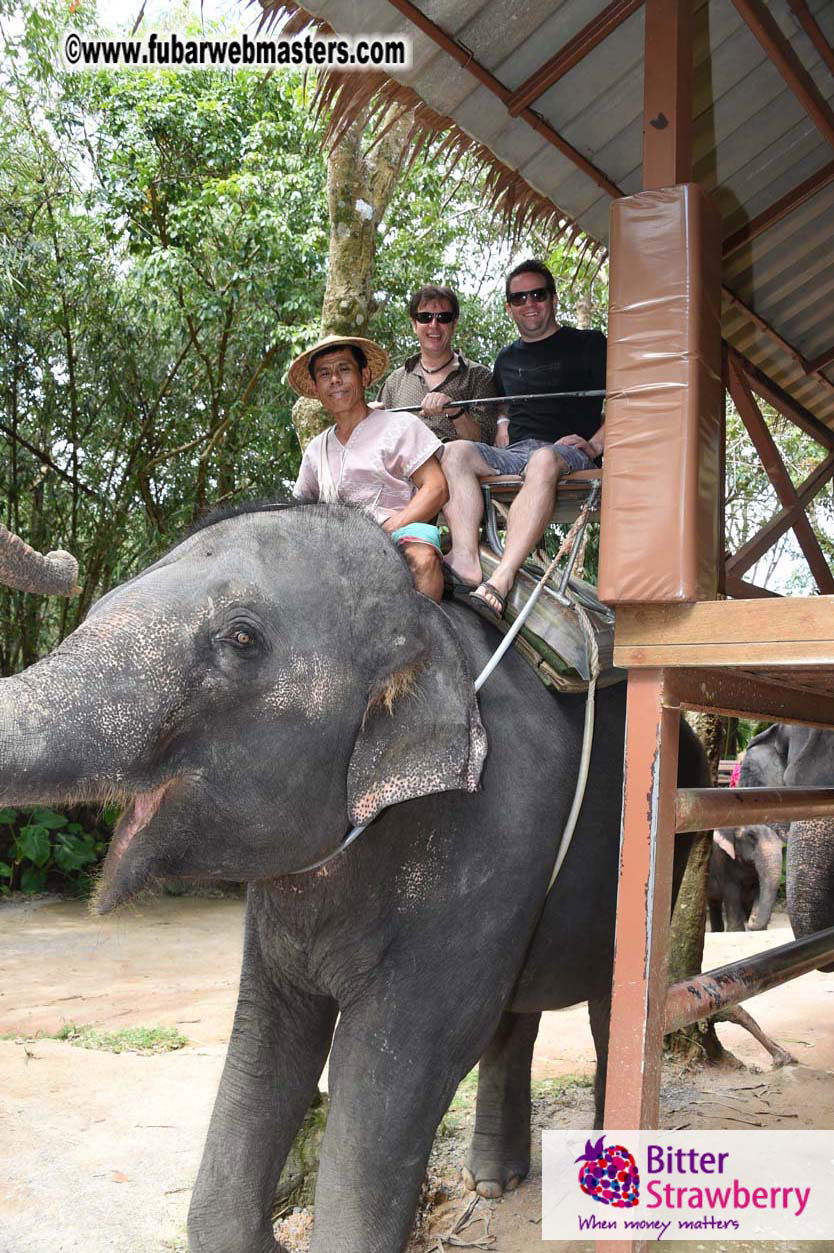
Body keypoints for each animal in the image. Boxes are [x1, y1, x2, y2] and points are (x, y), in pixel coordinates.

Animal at [0, 502, 707, 1253]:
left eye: (241, 638)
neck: (427, 627)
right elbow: (269, 1039)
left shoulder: (492, 838)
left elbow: (397, 1063)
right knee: (516, 1016)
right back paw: (493, 1183)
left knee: (611, 1006)